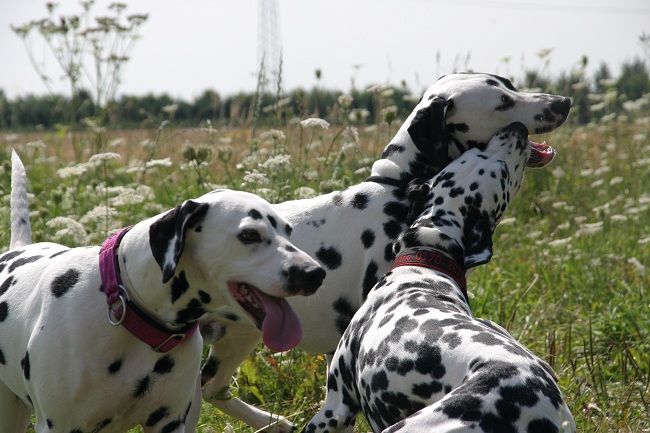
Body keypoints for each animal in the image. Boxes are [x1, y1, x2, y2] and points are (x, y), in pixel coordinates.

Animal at [0, 154, 326, 433]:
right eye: (250, 234)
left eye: (289, 231)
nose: (315, 273)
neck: (129, 309)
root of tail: (18, 248)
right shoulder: (59, 425)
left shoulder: (169, 423)